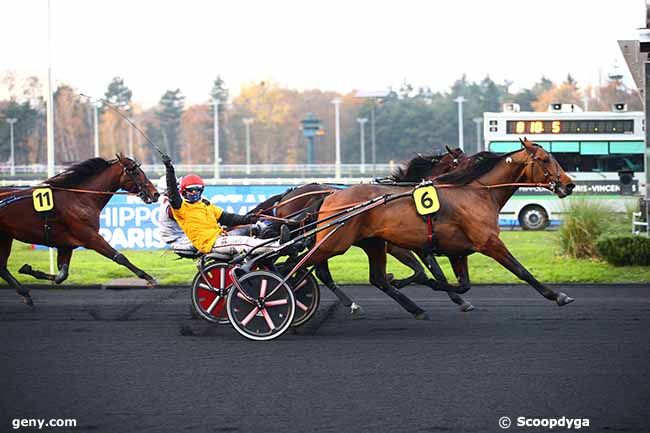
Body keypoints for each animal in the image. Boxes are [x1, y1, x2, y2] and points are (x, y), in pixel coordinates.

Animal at [0, 154, 160, 306]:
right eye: (136, 172)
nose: (156, 194)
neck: (79, 198)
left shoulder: (66, 244)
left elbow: (62, 275)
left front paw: (29, 270)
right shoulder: (90, 237)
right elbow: (120, 257)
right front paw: (149, 278)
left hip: (6, 237)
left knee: (3, 268)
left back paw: (25, 294)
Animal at [306, 138, 576, 318]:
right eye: (545, 159)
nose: (569, 184)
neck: (475, 192)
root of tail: (330, 197)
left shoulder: (457, 250)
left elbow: (460, 283)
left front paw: (437, 288)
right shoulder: (488, 242)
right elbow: (521, 271)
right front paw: (558, 295)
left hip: (371, 243)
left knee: (375, 278)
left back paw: (413, 308)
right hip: (336, 243)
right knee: (308, 266)